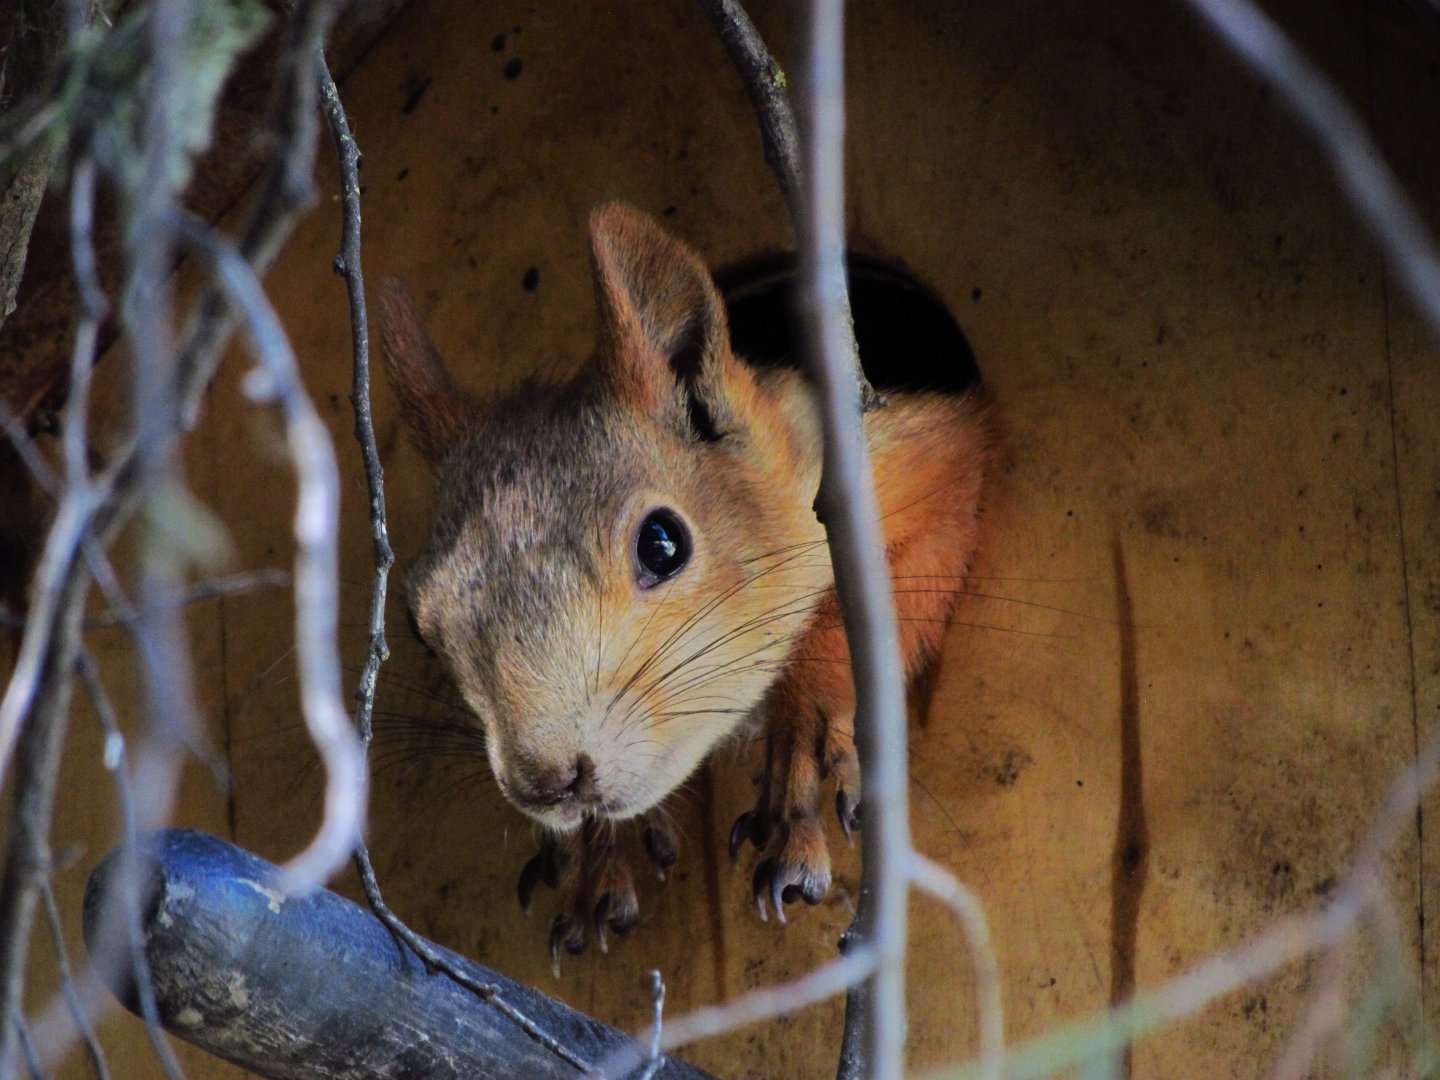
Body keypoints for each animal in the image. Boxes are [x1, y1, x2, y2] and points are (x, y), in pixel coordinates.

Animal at [378, 203, 995, 964]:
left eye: (662, 542)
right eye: (418, 623)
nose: (548, 782)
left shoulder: (929, 464)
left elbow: (899, 586)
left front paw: (802, 732)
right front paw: (599, 852)